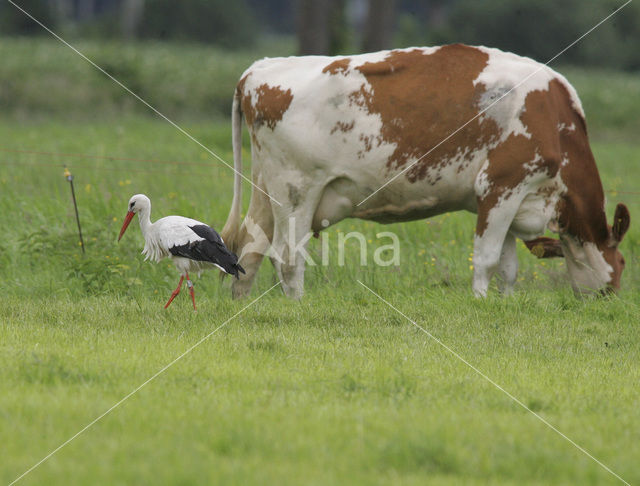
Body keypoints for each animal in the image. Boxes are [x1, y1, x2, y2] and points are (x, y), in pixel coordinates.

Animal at [220, 43, 632, 298]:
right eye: (624, 261)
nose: (611, 298)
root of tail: (260, 67)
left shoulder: (510, 202)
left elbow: (508, 265)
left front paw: (505, 303)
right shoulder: (501, 185)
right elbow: (486, 260)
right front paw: (480, 302)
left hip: (266, 191)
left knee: (250, 249)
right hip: (297, 190)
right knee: (287, 256)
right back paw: (298, 307)